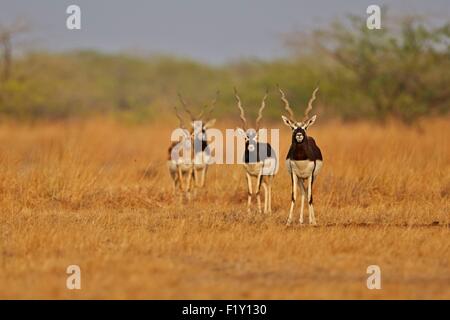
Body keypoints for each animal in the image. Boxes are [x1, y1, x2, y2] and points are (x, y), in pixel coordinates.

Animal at [280, 85, 322, 225]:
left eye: (305, 127)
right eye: (293, 127)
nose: (299, 135)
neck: (301, 159)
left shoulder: (310, 174)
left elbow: (310, 196)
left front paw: (313, 222)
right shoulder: (293, 174)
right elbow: (294, 195)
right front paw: (288, 221)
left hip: (311, 177)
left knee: (308, 192)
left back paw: (311, 220)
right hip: (299, 178)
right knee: (303, 192)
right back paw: (301, 220)